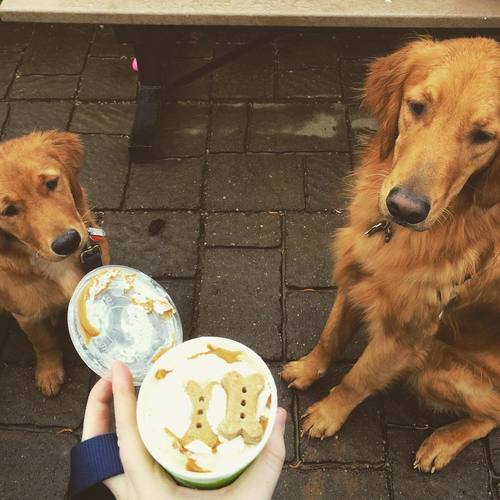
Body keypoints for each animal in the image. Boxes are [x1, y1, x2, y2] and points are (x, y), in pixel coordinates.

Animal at [0, 131, 109, 396]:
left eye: (51, 183)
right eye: (9, 211)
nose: (67, 242)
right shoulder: (26, 315)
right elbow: (44, 342)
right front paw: (49, 373)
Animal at [284, 37, 498, 470]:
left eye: (484, 136)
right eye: (417, 106)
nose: (405, 208)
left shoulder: (406, 334)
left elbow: (358, 378)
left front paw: (328, 414)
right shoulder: (355, 275)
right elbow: (330, 337)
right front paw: (307, 369)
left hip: (434, 367)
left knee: (491, 417)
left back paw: (442, 443)